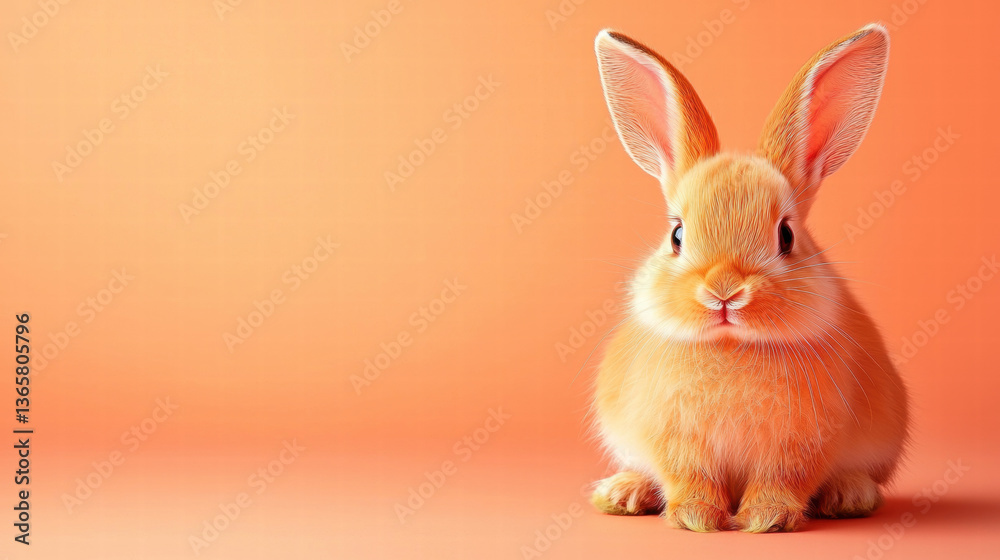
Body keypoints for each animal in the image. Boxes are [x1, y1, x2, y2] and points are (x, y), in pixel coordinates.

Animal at [588, 24, 909, 533]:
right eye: (677, 234)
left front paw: (766, 519)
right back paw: (623, 492)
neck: (731, 346)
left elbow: (781, 480)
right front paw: (696, 518)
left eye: (786, 235)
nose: (724, 291)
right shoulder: (676, 443)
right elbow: (689, 478)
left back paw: (848, 495)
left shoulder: (800, 447)